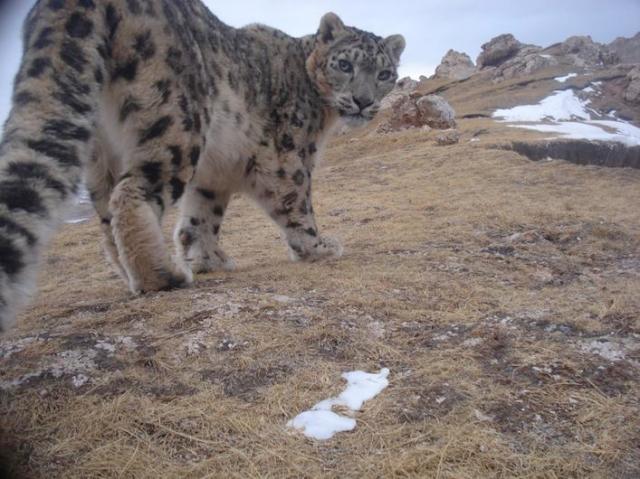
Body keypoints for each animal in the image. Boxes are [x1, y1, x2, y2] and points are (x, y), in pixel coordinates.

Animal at [0, 0, 405, 331]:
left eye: (385, 74)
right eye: (345, 64)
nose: (363, 101)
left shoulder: (214, 176)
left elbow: (200, 217)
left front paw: (207, 258)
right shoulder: (288, 156)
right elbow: (297, 202)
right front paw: (317, 246)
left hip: (101, 153)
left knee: (106, 216)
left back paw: (134, 275)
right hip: (175, 122)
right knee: (132, 191)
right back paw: (163, 275)